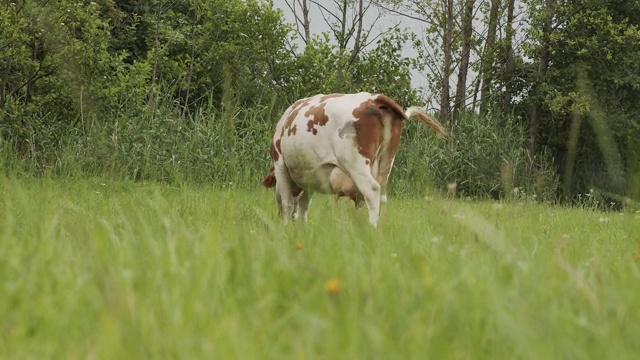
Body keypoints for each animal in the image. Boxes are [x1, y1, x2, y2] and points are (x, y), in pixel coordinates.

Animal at [260, 93, 450, 228]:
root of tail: (374, 99)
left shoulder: (280, 165)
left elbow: (287, 202)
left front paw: (285, 226)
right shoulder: (310, 175)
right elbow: (304, 205)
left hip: (356, 164)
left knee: (372, 191)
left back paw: (372, 228)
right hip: (386, 164)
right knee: (382, 197)